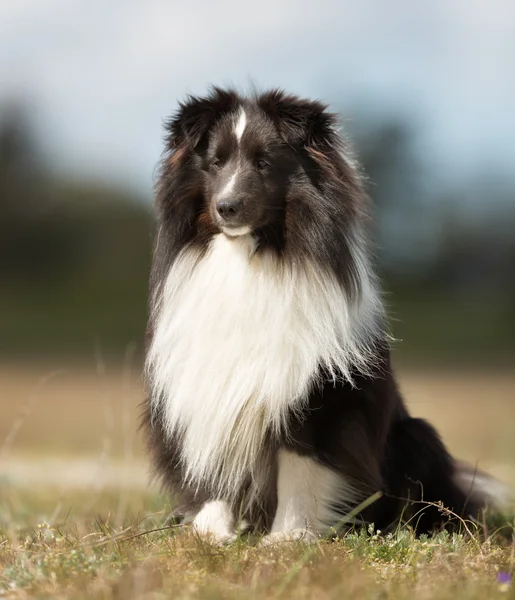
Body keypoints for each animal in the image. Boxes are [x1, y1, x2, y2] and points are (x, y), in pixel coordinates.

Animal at [143, 88, 506, 544]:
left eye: (265, 163)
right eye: (215, 163)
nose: (227, 207)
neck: (250, 257)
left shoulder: (317, 395)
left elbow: (301, 467)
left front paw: (288, 538)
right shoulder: (205, 383)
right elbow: (213, 461)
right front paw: (209, 533)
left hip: (417, 436)